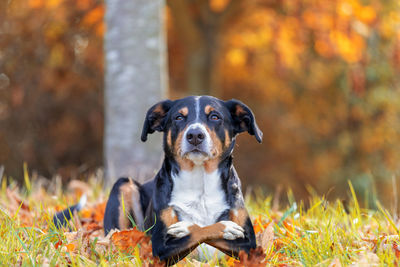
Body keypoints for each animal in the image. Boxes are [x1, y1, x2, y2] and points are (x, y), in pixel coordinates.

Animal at [54, 96, 264, 266]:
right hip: (123, 186)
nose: (195, 135)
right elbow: (198, 230)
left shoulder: (250, 246)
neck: (200, 185)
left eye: (215, 116)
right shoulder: (161, 246)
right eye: (179, 117)